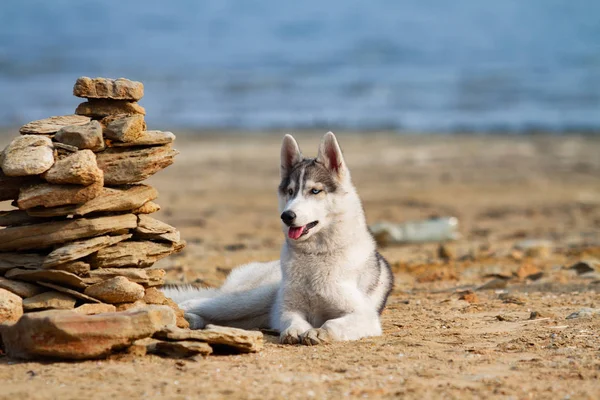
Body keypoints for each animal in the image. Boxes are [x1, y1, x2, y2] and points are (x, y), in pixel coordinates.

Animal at [162, 133, 394, 346]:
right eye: (290, 191)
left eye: (315, 191)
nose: (287, 216)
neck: (315, 256)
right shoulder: (288, 308)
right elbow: (293, 319)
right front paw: (295, 330)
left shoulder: (364, 316)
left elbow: (332, 323)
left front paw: (319, 332)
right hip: (249, 299)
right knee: (196, 302)